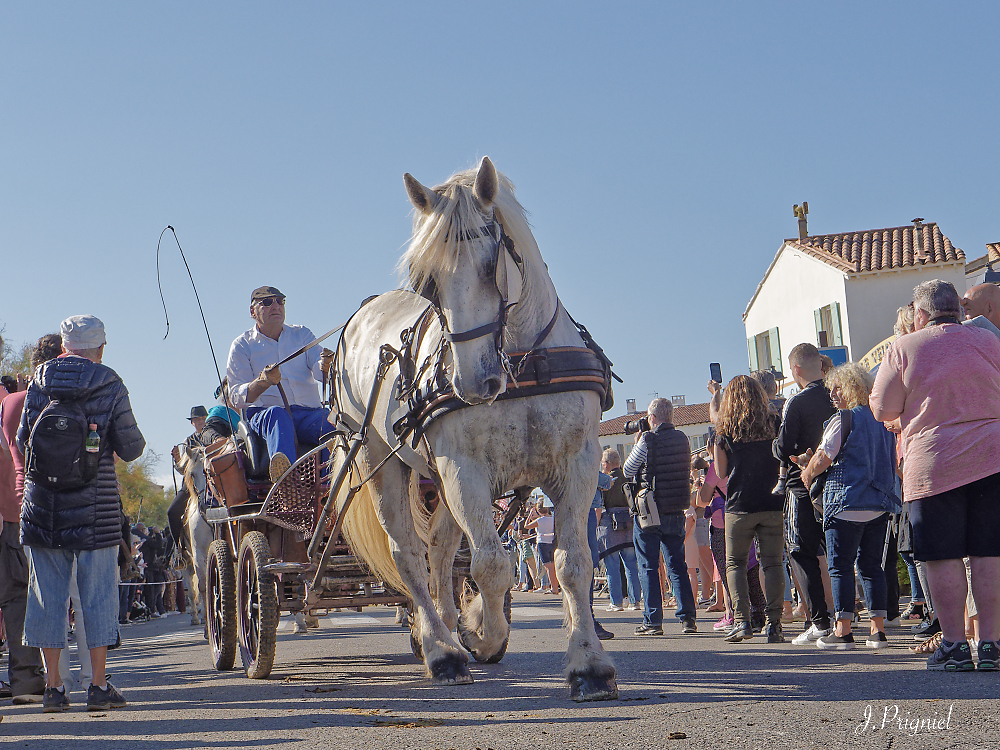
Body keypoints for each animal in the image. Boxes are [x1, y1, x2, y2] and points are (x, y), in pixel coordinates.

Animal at [334, 156, 616, 704]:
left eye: (491, 265)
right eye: (427, 283)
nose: (471, 383)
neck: (523, 367)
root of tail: (359, 317)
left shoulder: (579, 463)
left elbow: (572, 563)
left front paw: (589, 665)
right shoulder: (465, 471)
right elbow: (492, 564)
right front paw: (483, 631)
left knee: (442, 550)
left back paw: (446, 628)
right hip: (384, 459)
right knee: (411, 555)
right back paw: (441, 649)